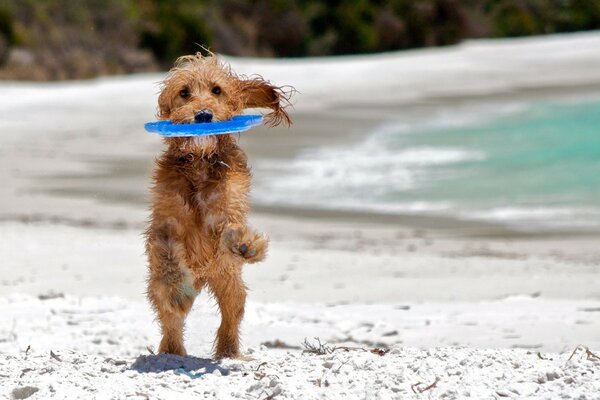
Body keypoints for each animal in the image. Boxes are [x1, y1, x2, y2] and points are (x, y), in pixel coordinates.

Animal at [148, 52, 292, 360]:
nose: (203, 115)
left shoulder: (227, 209)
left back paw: (229, 352)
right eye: (184, 92)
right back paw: (173, 350)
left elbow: (231, 228)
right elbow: (168, 258)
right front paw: (177, 292)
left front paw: (246, 244)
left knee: (231, 314)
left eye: (216, 90)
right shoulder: (165, 224)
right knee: (170, 319)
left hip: (229, 282)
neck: (200, 163)